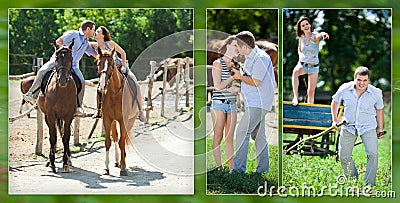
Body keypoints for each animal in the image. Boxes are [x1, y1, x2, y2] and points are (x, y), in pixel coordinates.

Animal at [37, 40, 76, 173]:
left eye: (71, 58)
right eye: (57, 58)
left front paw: (65, 163)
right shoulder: (51, 115)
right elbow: (53, 138)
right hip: (48, 117)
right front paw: (53, 163)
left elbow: (65, 138)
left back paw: (68, 160)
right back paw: (50, 161)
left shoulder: (68, 116)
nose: (62, 80)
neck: (61, 92)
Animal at [96, 46, 138, 175]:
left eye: (111, 64)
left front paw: (123, 167)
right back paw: (117, 160)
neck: (115, 93)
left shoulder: (123, 120)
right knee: (115, 136)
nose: (102, 84)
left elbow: (122, 141)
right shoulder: (107, 119)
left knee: (122, 139)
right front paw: (106, 167)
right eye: (98, 63)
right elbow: (108, 141)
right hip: (114, 121)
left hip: (130, 120)